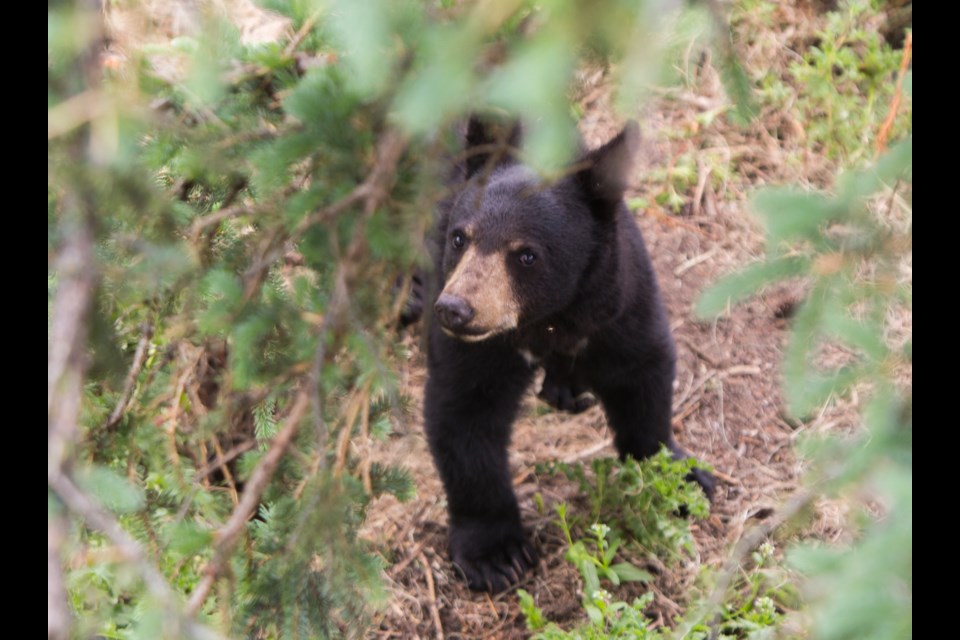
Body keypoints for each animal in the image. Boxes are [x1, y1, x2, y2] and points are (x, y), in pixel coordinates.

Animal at [422, 117, 712, 592]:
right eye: (460, 237)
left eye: (526, 254)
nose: (456, 309)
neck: (545, 321)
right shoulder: (473, 343)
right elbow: (464, 411)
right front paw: (495, 555)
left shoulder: (615, 296)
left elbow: (642, 373)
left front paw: (683, 479)